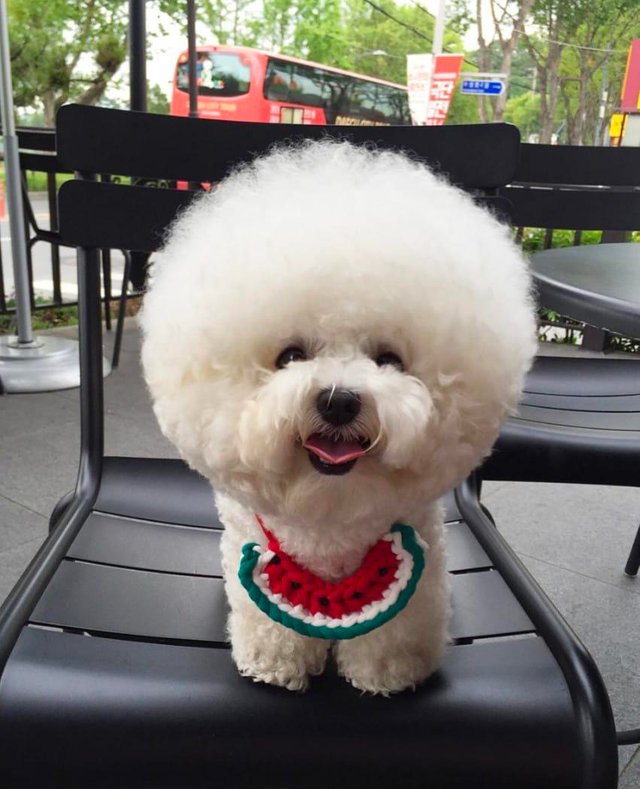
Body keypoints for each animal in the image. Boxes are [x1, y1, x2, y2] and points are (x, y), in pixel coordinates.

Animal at [140, 139, 536, 692]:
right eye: (290, 355)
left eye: (389, 359)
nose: (339, 401)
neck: (328, 519)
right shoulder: (255, 552)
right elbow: (271, 626)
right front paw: (274, 663)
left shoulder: (419, 558)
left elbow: (394, 635)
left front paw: (390, 673)